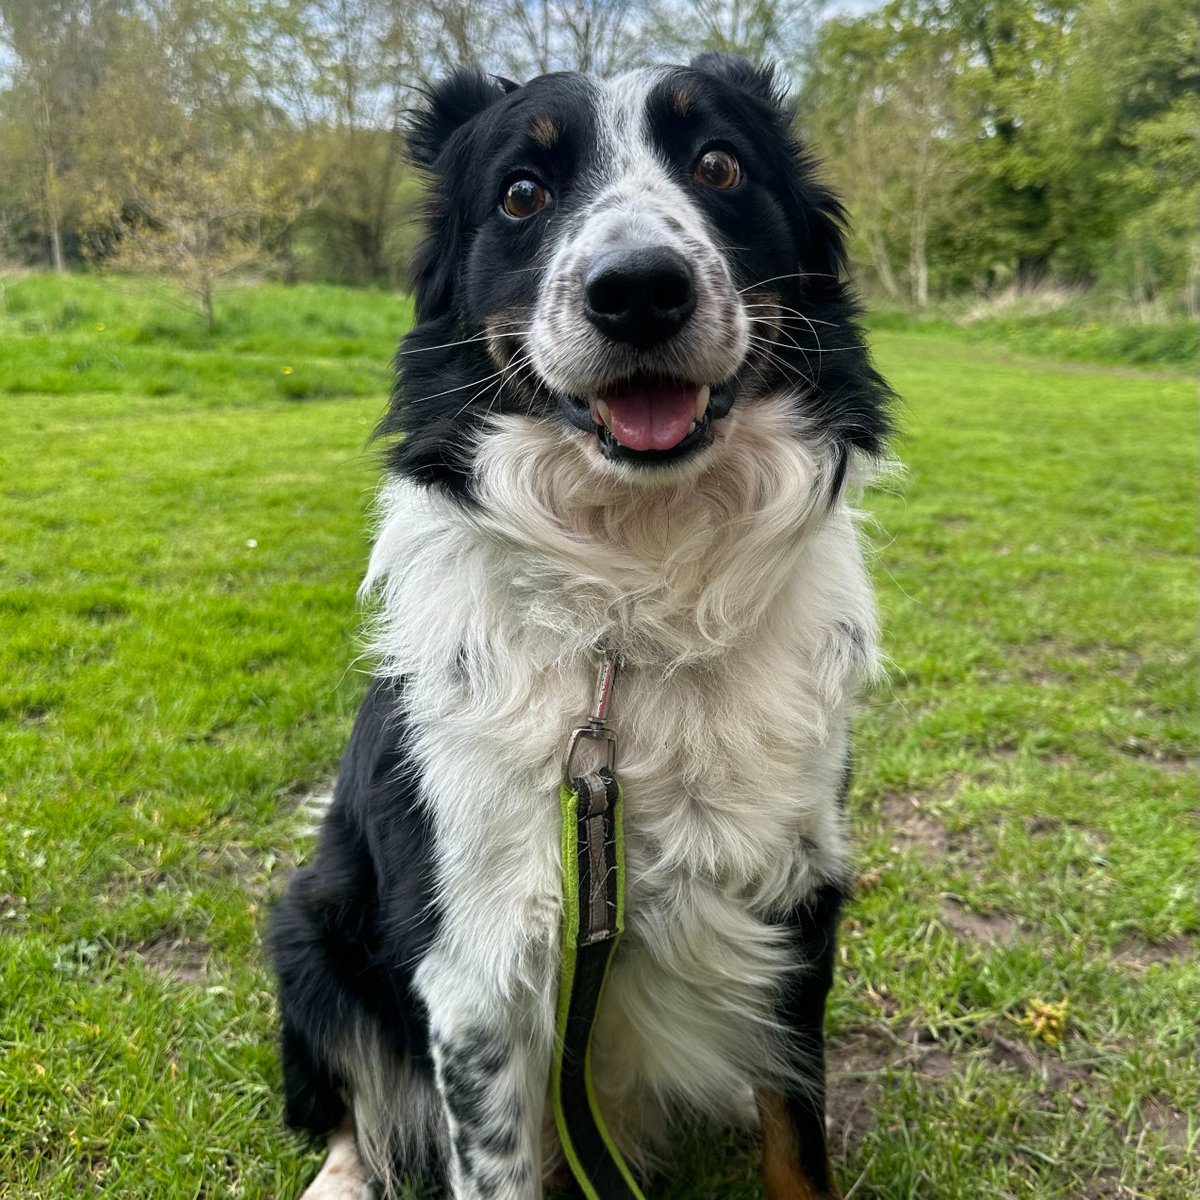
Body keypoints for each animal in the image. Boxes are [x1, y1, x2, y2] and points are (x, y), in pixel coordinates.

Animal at [272, 54, 892, 1200]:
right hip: (308, 924)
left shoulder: (795, 908)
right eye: (523, 192)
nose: (640, 288)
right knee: (343, 1102)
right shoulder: (475, 975)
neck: (634, 599)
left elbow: (796, 1137)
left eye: (719, 165)